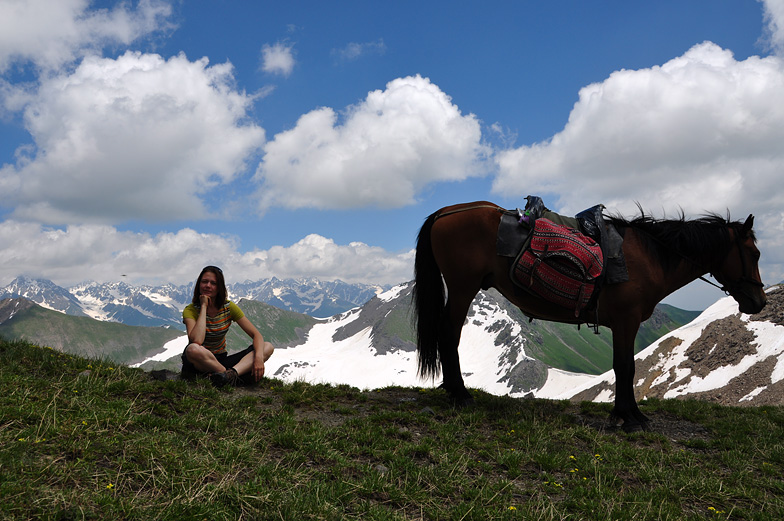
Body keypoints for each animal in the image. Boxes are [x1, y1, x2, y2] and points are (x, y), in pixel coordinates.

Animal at [414, 199, 768, 430]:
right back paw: (460, 394)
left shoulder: (625, 324)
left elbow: (626, 367)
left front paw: (629, 413)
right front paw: (628, 417)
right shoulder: (626, 321)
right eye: (754, 253)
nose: (759, 301)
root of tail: (447, 212)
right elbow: (625, 367)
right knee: (449, 333)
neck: (649, 258)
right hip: (462, 287)